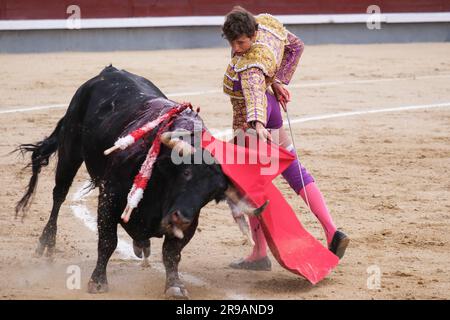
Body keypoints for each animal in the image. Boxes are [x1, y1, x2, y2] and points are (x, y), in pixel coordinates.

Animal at [15, 66, 230, 298]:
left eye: (213, 193)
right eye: (186, 173)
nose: (181, 218)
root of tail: (108, 71)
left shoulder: (191, 221)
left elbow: (172, 253)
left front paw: (175, 286)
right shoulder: (109, 198)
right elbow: (108, 242)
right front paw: (98, 281)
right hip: (69, 152)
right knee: (59, 195)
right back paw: (46, 244)